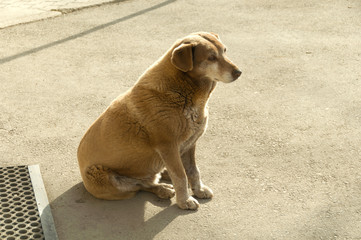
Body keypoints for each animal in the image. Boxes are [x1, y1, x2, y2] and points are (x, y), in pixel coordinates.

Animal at [78, 32, 242, 210]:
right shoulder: (168, 146)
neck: (182, 90)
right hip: (105, 178)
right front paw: (184, 201)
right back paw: (162, 189)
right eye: (211, 57)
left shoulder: (190, 144)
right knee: (141, 185)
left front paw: (198, 189)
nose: (238, 72)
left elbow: (193, 170)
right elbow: (180, 175)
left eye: (224, 51)